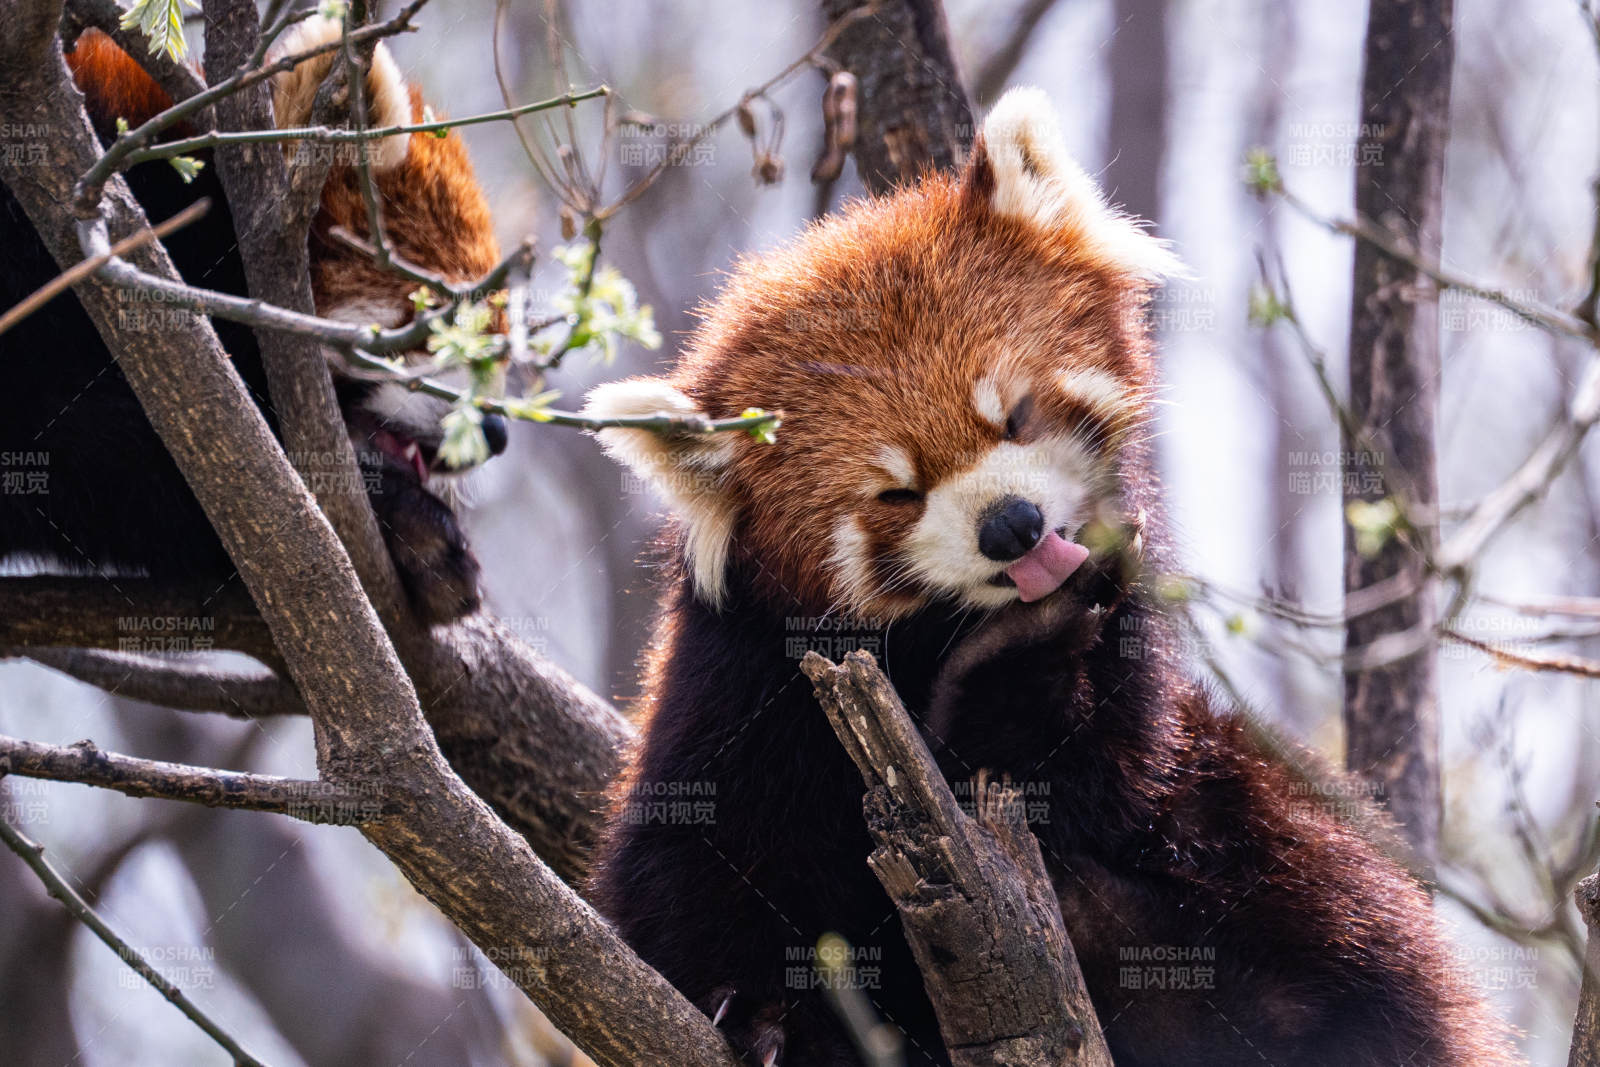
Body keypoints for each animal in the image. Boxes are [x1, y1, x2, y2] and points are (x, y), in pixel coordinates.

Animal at [581, 88, 1519, 1066]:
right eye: (896, 492)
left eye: (1016, 414)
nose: (1011, 525)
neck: (936, 636)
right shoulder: (743, 684)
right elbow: (698, 869)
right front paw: (759, 1011)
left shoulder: (1132, 682)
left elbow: (1084, 788)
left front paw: (1019, 664)